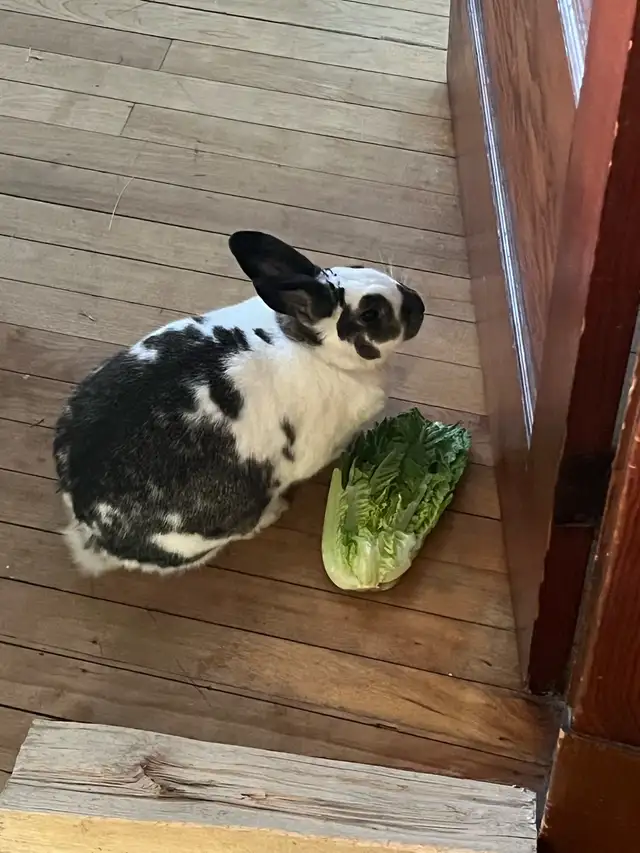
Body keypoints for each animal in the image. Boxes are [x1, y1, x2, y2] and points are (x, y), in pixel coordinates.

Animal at [53, 231, 425, 577]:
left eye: (359, 267)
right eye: (371, 314)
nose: (418, 304)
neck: (314, 348)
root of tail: (93, 532)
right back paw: (275, 511)